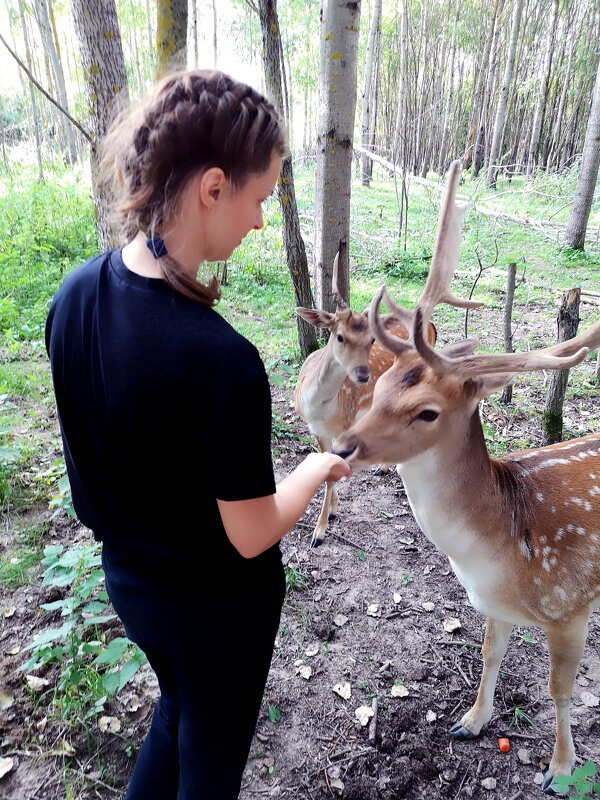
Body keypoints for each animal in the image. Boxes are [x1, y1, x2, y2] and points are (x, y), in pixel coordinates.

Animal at [294, 256, 436, 552]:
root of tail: (431, 327)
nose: (362, 375)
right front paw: (332, 510)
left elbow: (332, 473)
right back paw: (382, 468)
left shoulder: (345, 425)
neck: (319, 409)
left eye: (371, 339)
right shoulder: (315, 430)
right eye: (339, 336)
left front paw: (319, 532)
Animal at [332, 159, 600, 792]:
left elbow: (559, 690)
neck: (501, 552)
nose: (343, 445)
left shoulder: (570, 605)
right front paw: (470, 722)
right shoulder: (490, 605)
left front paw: (559, 768)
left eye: (427, 412)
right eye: (380, 384)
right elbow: (489, 655)